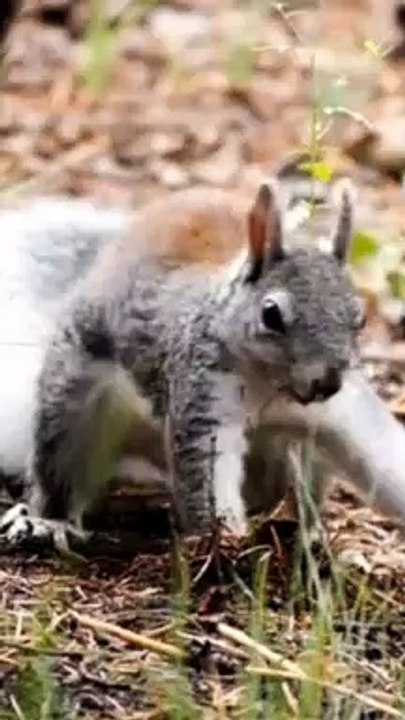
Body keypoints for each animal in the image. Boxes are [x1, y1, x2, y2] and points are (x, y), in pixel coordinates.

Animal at [1, 179, 405, 550]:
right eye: (271, 314)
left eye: (359, 318)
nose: (328, 382)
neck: (272, 387)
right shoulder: (202, 393)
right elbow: (206, 472)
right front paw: (226, 545)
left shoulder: (344, 411)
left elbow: (386, 459)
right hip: (73, 398)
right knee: (58, 466)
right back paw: (46, 521)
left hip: (302, 459)